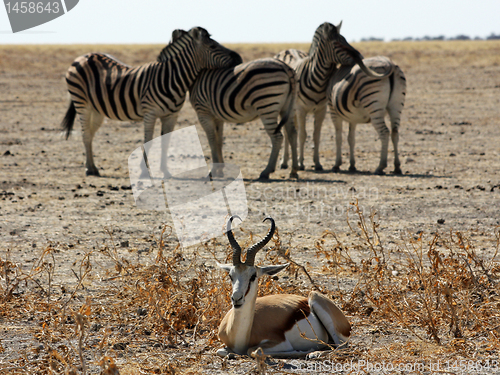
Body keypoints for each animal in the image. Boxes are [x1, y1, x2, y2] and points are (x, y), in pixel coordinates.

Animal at [61, 26, 242, 176]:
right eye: (213, 47)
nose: (239, 58)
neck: (171, 79)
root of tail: (83, 56)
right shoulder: (150, 113)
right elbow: (148, 142)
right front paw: (144, 171)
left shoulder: (171, 116)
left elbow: (165, 142)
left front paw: (165, 171)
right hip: (82, 103)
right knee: (85, 134)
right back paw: (89, 169)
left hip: (97, 109)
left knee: (90, 134)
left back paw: (92, 167)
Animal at [216, 217, 352, 358]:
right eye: (231, 275)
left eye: (253, 276)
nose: (236, 298)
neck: (239, 337)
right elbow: (220, 351)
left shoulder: (281, 343)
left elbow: (253, 351)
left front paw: (303, 351)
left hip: (316, 300)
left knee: (341, 346)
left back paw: (315, 353)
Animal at [276, 21, 388, 171]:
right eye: (336, 43)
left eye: (345, 39)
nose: (360, 57)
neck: (317, 81)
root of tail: (288, 49)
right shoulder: (301, 110)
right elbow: (303, 135)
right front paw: (301, 163)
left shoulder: (321, 110)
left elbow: (316, 136)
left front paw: (317, 163)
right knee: (285, 129)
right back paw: (284, 162)